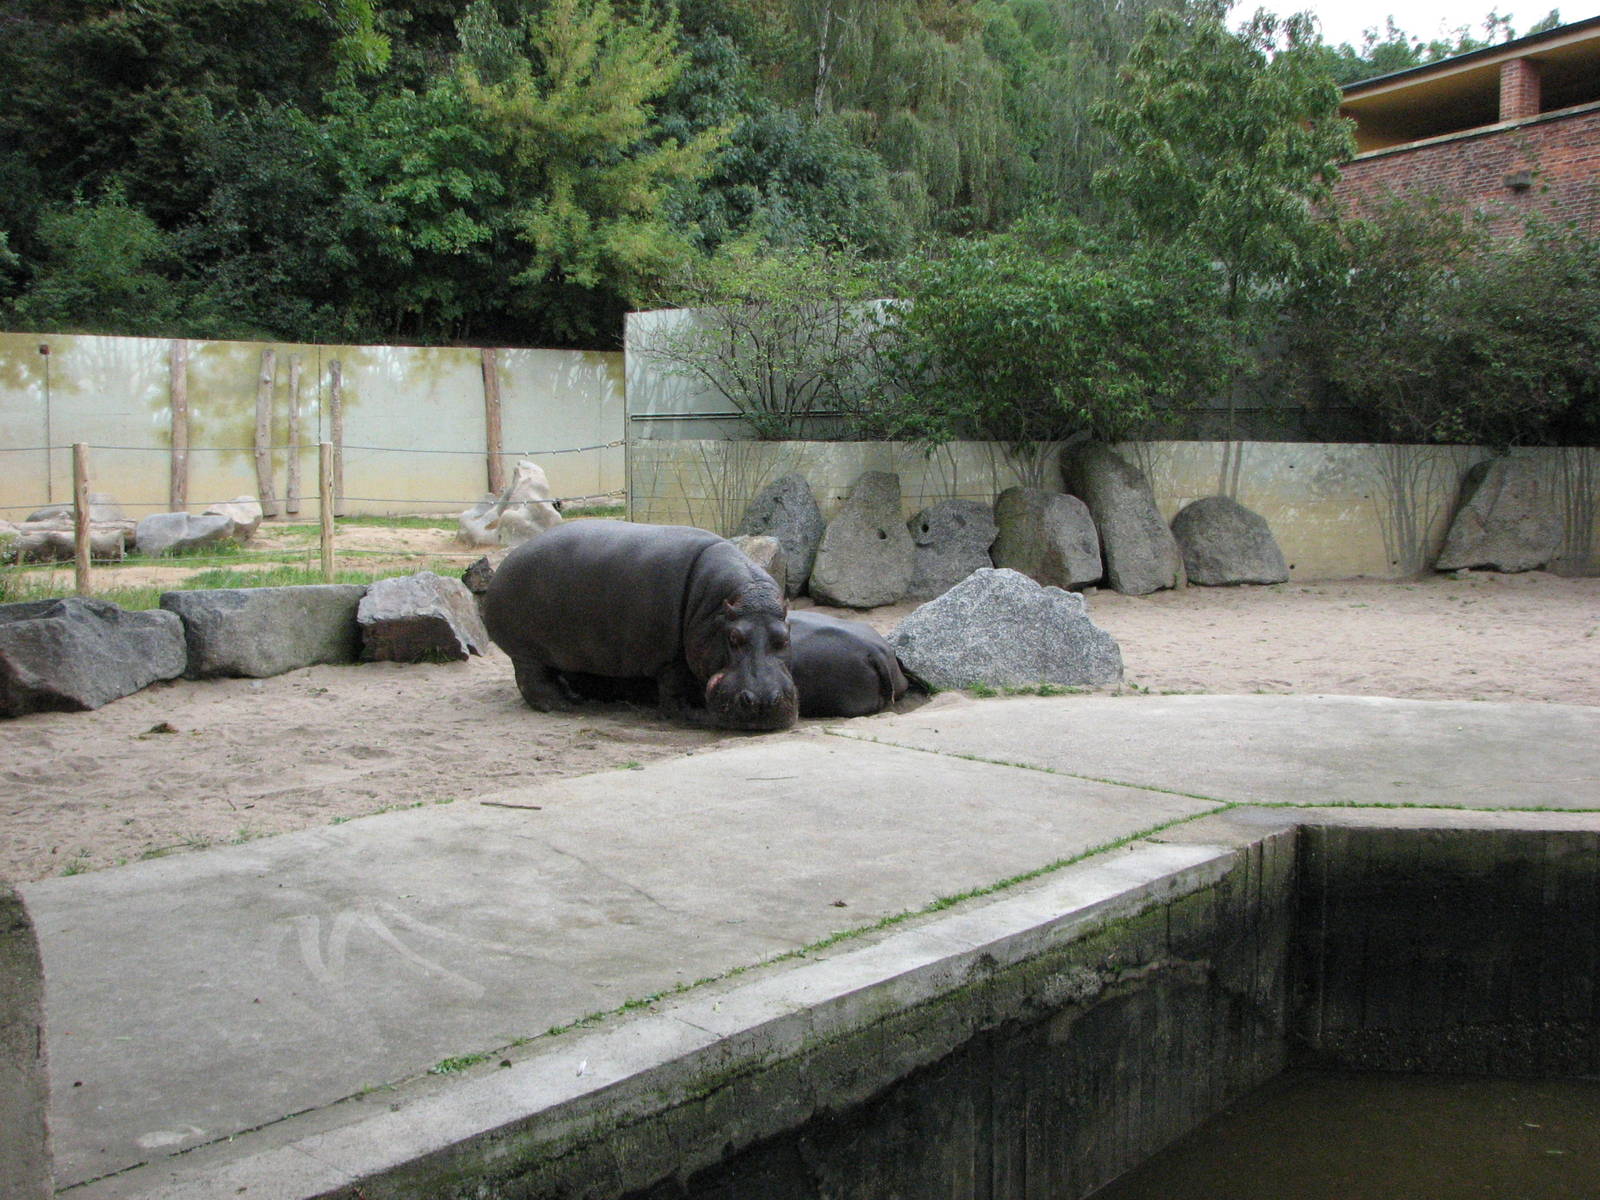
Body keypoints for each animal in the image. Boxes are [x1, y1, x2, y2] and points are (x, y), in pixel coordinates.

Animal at [482, 521, 798, 731]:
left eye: (784, 638)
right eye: (733, 637)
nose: (763, 701)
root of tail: (504, 564)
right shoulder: (671, 658)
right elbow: (675, 693)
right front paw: (695, 715)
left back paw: (575, 697)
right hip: (525, 651)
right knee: (531, 680)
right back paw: (562, 705)